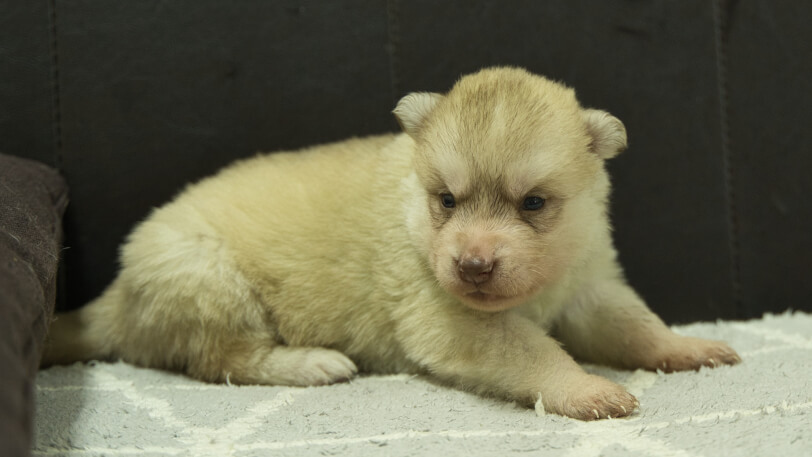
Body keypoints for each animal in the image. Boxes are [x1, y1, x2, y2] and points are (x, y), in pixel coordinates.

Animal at [42, 66, 744, 418]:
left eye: (534, 203)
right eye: (448, 201)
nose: (473, 264)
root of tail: (116, 297)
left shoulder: (591, 289)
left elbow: (638, 326)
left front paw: (687, 347)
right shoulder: (453, 320)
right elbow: (535, 353)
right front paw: (585, 389)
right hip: (211, 282)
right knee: (223, 361)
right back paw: (312, 363)